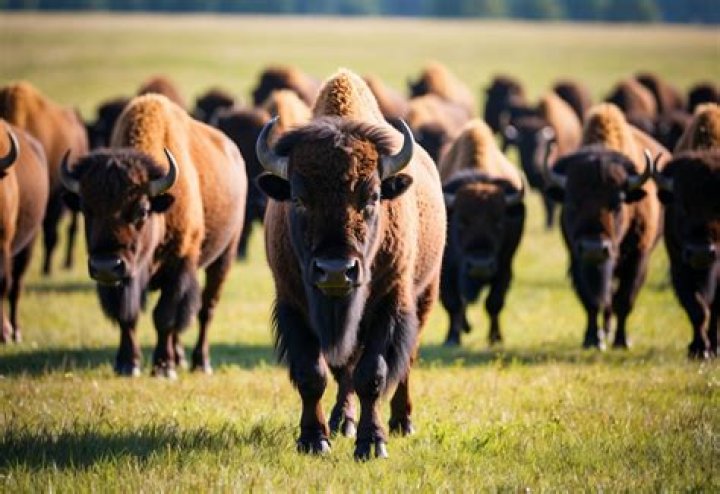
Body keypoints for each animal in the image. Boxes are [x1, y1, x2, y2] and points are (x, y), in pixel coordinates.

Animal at [61, 94, 247, 377]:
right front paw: (127, 364)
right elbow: (128, 316)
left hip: (224, 256)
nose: (105, 266)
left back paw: (200, 363)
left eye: (142, 210)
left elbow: (165, 316)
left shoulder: (180, 265)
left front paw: (163, 368)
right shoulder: (124, 277)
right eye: (85, 208)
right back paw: (179, 357)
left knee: (206, 309)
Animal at [257, 69, 445, 460]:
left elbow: (372, 374)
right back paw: (343, 421)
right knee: (344, 370)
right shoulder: (293, 305)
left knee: (405, 362)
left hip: (425, 296)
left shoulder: (388, 304)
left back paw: (402, 422)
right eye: (298, 198)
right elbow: (313, 374)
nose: (334, 270)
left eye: (372, 197)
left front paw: (373, 444)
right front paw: (315, 439)